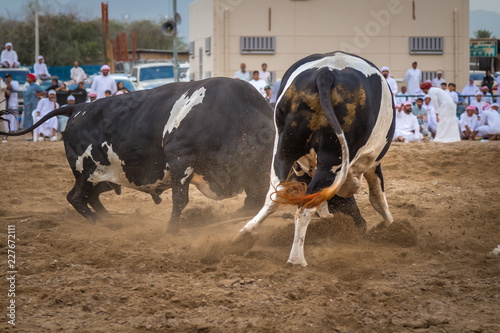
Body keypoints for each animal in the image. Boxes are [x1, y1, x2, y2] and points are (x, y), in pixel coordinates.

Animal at [0, 79, 274, 232]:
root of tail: (78, 107)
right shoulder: (180, 159)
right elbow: (180, 200)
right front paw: (172, 231)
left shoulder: (252, 175)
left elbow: (253, 202)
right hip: (86, 172)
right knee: (75, 197)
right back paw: (104, 225)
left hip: (109, 176)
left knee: (91, 197)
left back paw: (112, 222)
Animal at [234, 51, 394, 264]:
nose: (361, 226)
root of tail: (326, 74)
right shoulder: (372, 163)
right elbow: (377, 197)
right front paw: (392, 226)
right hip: (333, 158)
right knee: (306, 206)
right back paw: (296, 259)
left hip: (284, 149)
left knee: (277, 193)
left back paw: (243, 234)